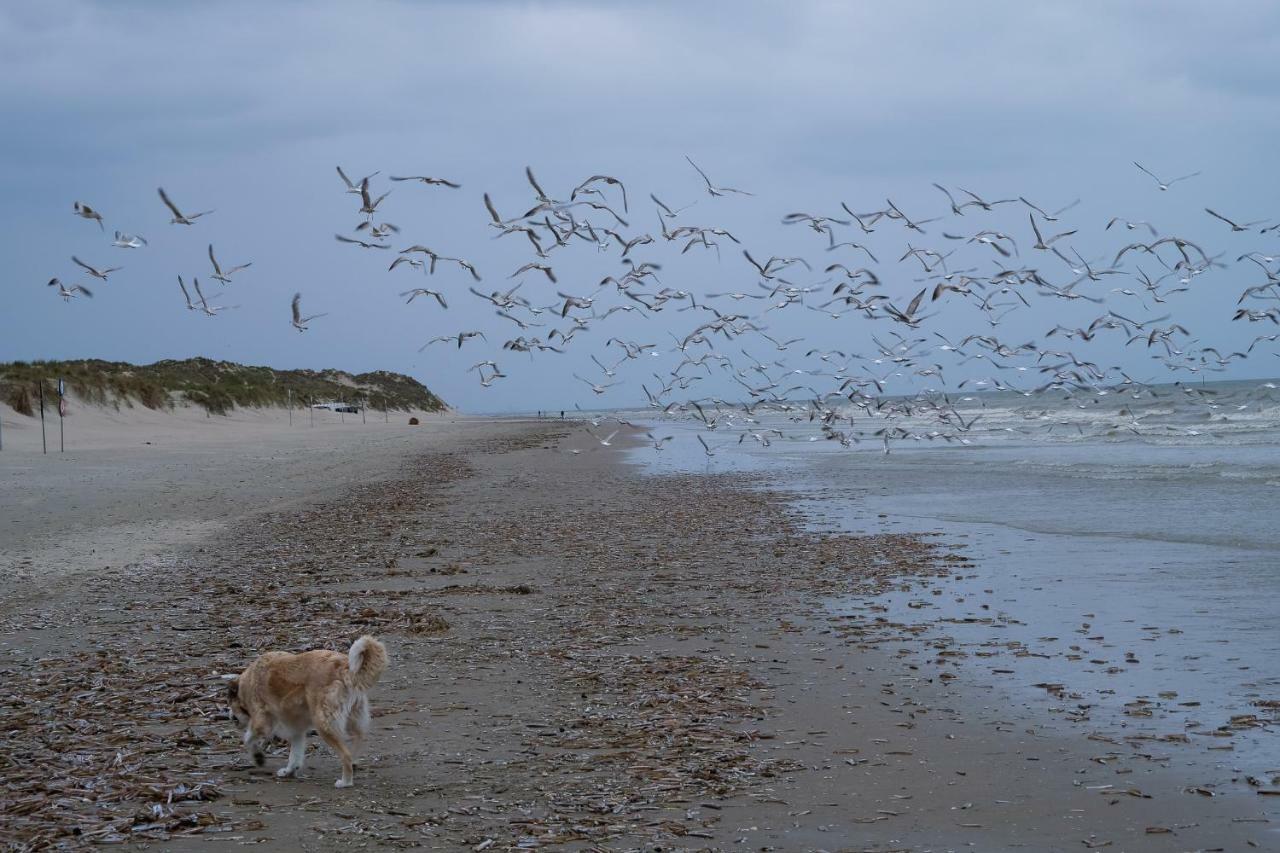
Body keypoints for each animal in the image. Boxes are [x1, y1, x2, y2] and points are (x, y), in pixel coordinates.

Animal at [226, 635, 384, 788]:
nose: (230, 717)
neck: (246, 684)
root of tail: (345, 668)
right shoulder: (297, 729)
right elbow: (295, 754)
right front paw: (289, 771)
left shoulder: (261, 723)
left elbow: (247, 739)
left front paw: (258, 757)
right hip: (354, 717)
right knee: (358, 739)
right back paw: (354, 764)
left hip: (323, 724)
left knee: (346, 755)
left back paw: (345, 782)